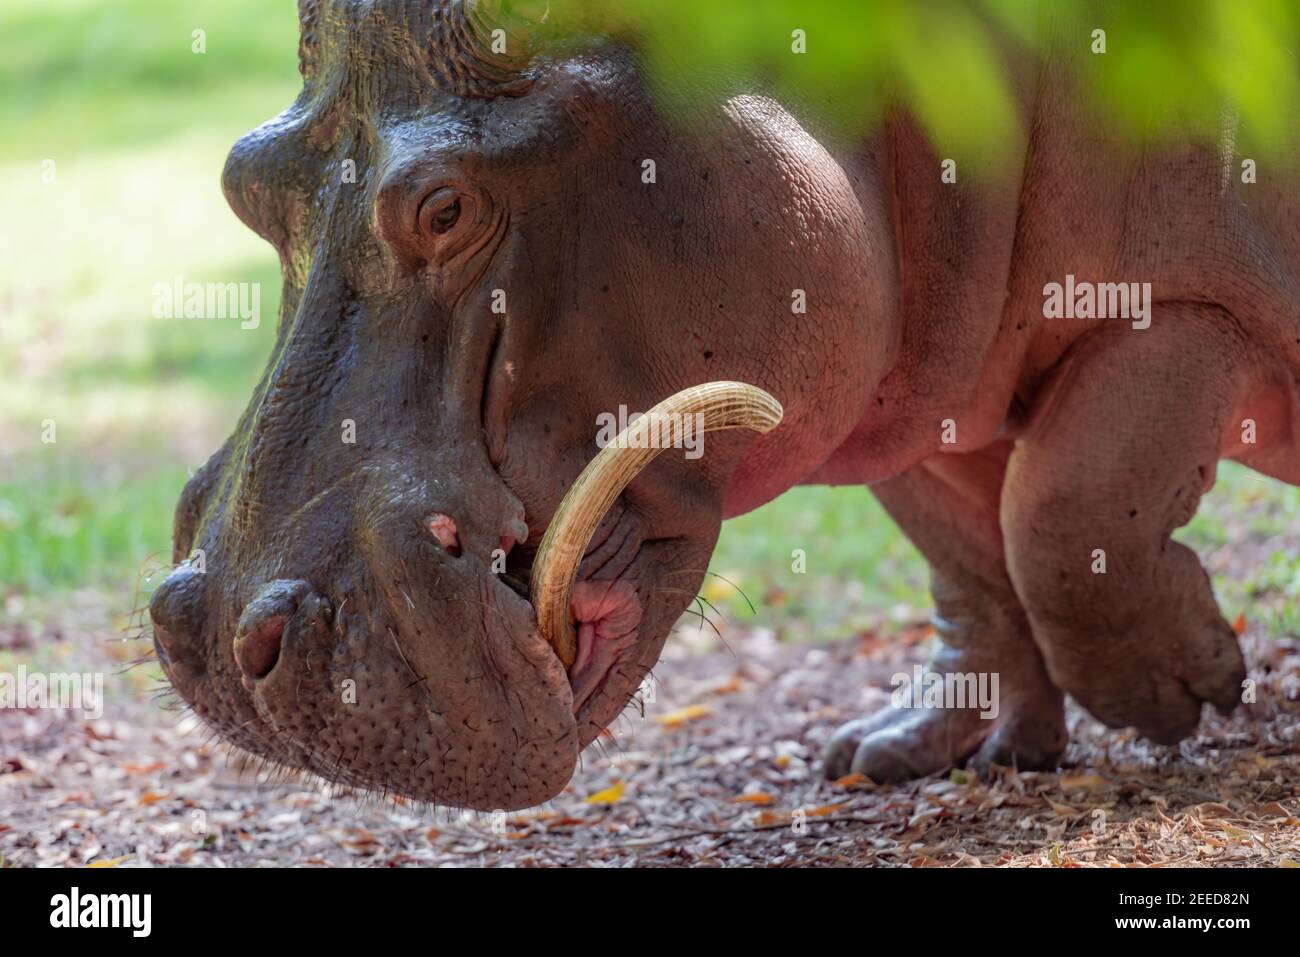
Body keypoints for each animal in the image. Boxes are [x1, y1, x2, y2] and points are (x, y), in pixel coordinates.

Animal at [148, 0, 1300, 810]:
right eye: (243, 183)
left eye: (443, 208)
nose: (225, 637)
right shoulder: (910, 379)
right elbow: (968, 558)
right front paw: (911, 753)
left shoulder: (1192, 308)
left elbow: (1063, 511)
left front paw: (1185, 692)